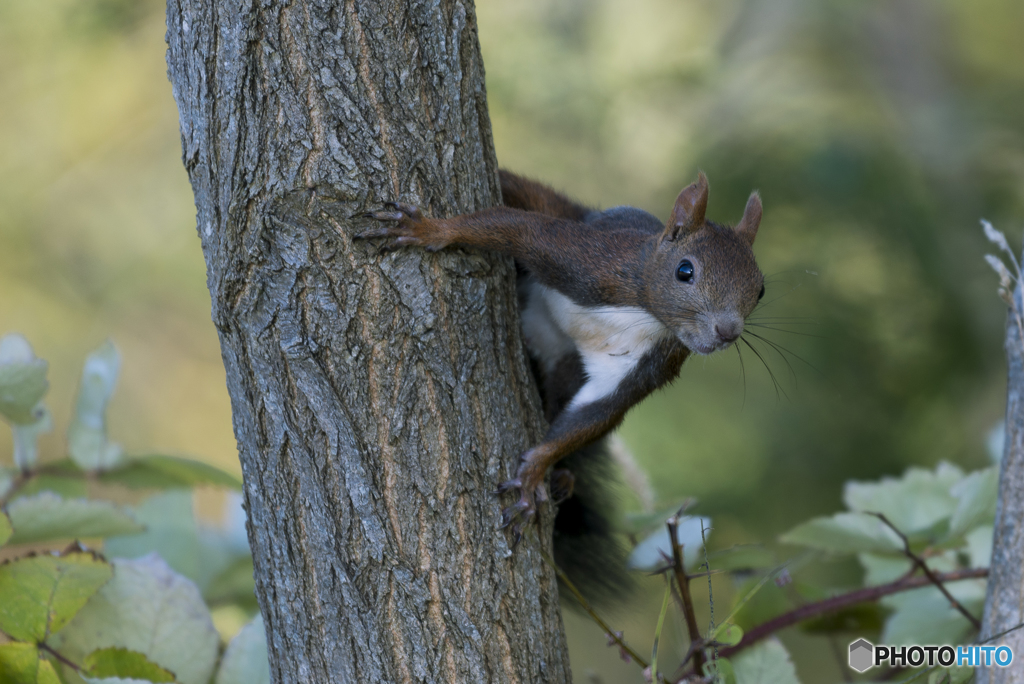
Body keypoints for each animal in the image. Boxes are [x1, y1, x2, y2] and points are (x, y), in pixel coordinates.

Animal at [356, 167, 765, 593]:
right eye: (685, 270)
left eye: (761, 290)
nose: (727, 332)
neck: (645, 314)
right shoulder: (590, 262)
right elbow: (520, 229)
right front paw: (429, 230)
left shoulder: (651, 365)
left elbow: (597, 414)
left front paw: (536, 471)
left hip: (567, 365)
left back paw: (562, 477)